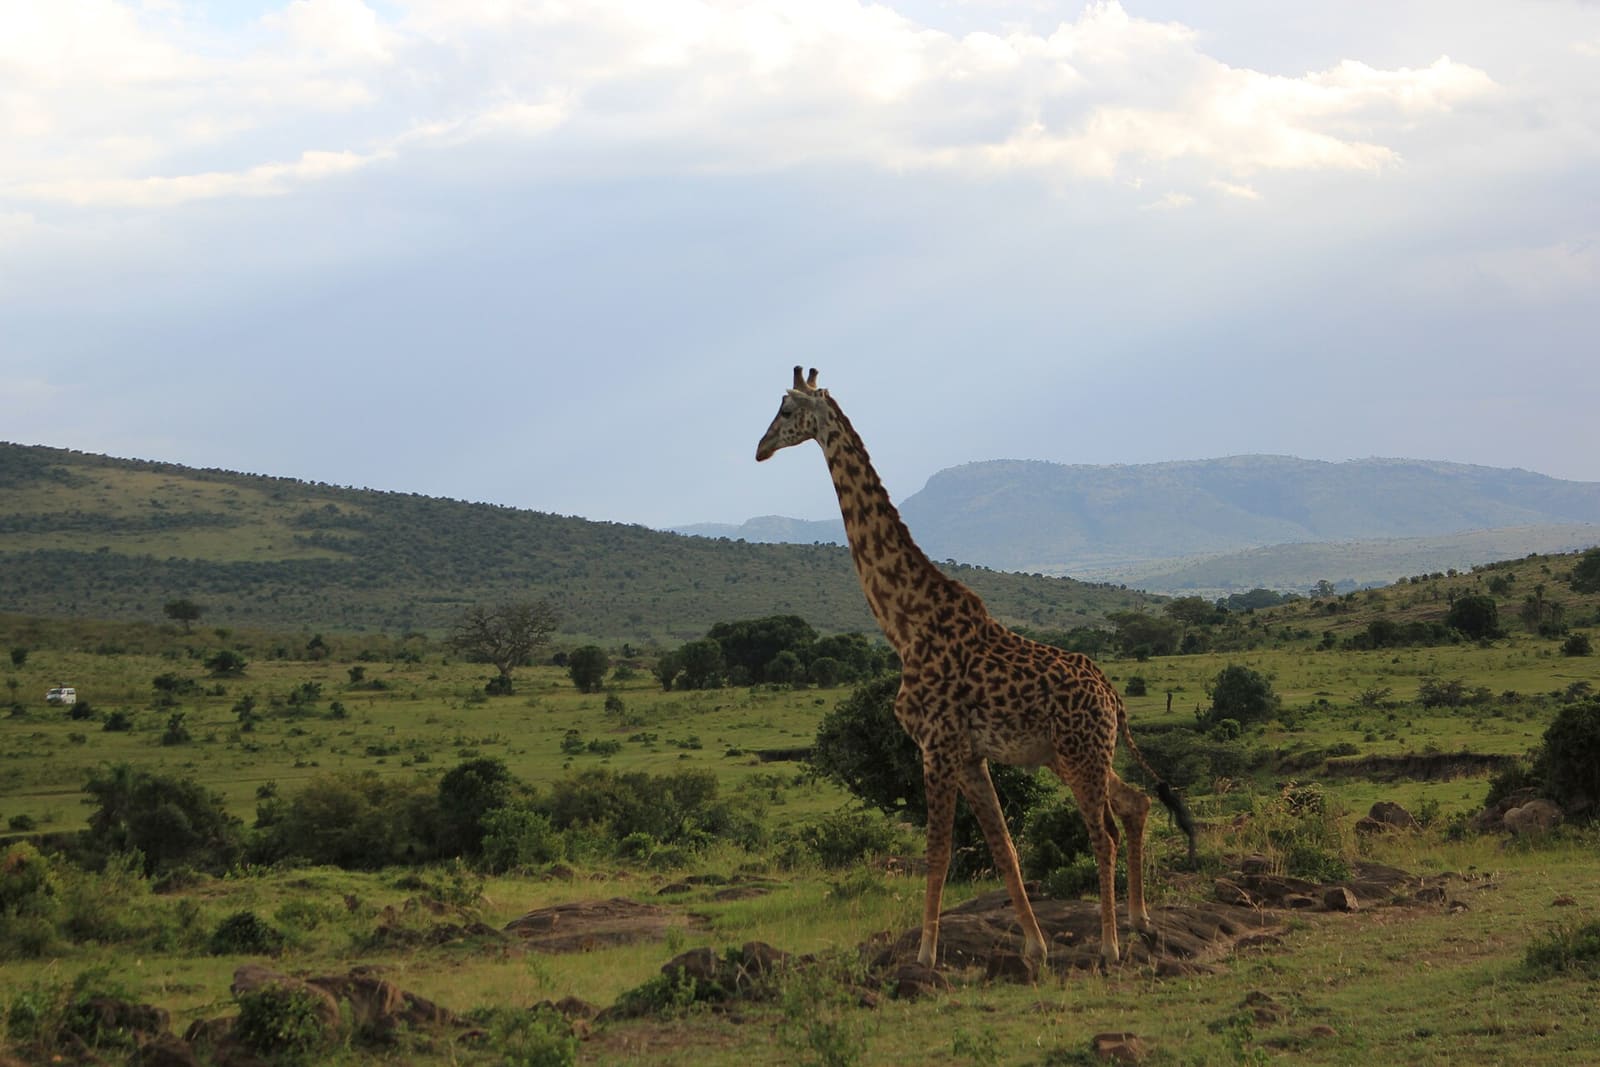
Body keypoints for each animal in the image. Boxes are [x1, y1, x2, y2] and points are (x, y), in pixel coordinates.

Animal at [756, 367, 1196, 970]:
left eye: (784, 409)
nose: (760, 448)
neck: (905, 624)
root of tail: (1114, 698)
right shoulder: (969, 754)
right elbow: (1003, 846)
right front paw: (1035, 946)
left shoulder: (937, 745)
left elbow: (939, 851)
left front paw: (924, 955)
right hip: (1071, 754)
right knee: (1136, 802)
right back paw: (1139, 921)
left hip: (1080, 754)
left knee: (1103, 830)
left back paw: (1109, 944)